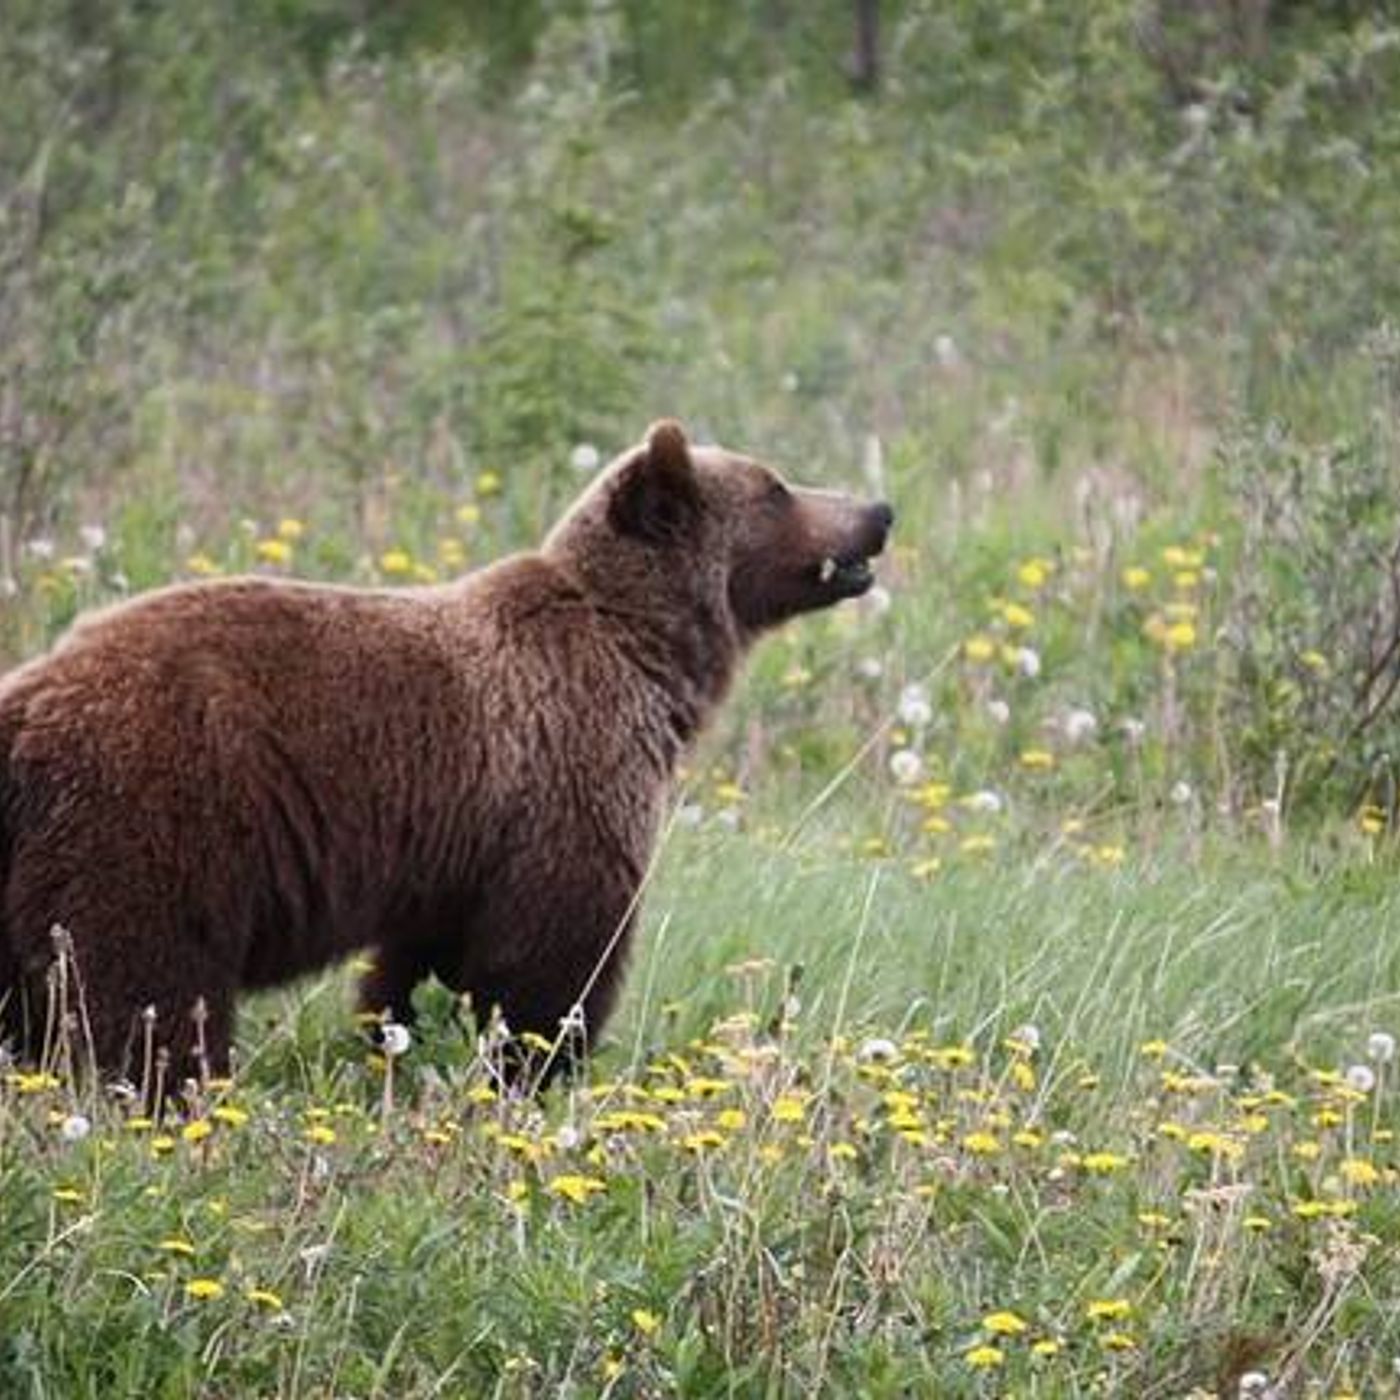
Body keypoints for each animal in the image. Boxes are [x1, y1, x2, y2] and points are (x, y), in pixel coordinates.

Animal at [0, 420, 892, 1092]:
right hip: (155, 821)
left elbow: (422, 959)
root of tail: (29, 698)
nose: (878, 508)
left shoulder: (458, 840)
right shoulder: (567, 767)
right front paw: (537, 1064)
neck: (645, 654)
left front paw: (401, 1036)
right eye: (776, 487)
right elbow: (552, 955)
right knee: (144, 990)